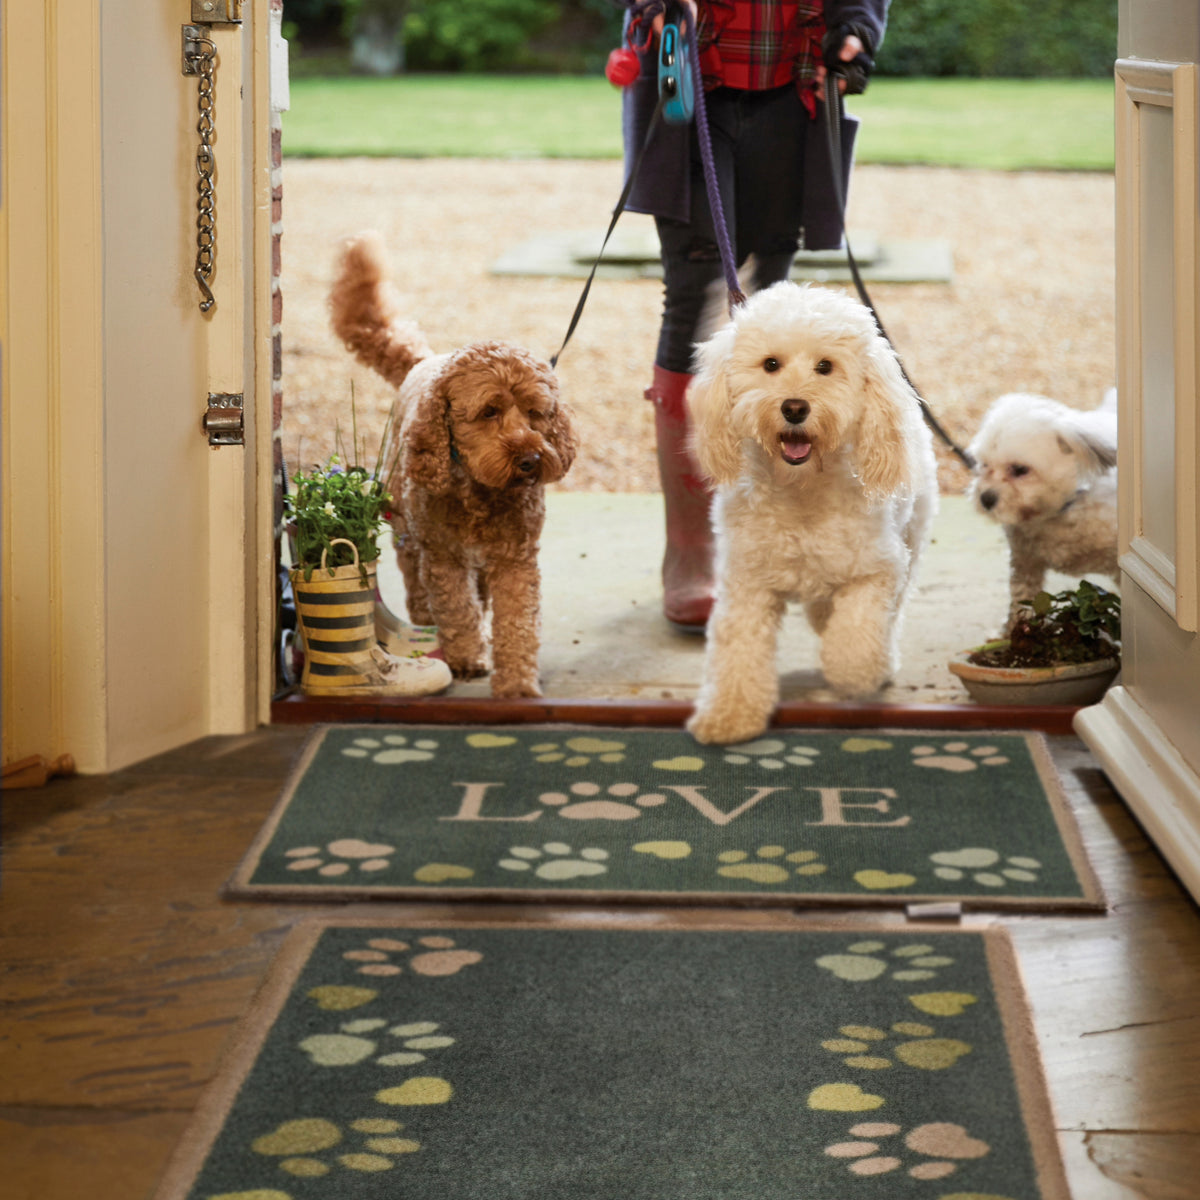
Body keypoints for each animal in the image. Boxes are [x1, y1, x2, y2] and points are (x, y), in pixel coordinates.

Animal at [326, 230, 573, 700]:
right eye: (489, 411)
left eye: (536, 411)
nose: (531, 460)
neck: (479, 491)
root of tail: (423, 361)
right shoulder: (444, 557)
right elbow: (457, 608)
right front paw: (465, 658)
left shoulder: (515, 559)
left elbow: (517, 621)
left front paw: (517, 682)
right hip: (406, 525)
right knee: (414, 578)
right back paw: (425, 620)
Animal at [686, 284, 936, 744]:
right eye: (771, 364)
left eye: (825, 366)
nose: (795, 408)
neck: (800, 493)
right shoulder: (746, 585)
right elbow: (738, 653)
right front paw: (729, 715)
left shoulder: (877, 571)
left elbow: (855, 643)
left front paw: (857, 676)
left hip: (912, 538)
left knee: (887, 617)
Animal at [960, 391, 1118, 619]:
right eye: (984, 464)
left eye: (1020, 469)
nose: (986, 499)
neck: (1061, 511)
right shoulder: (1025, 563)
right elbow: (1021, 604)